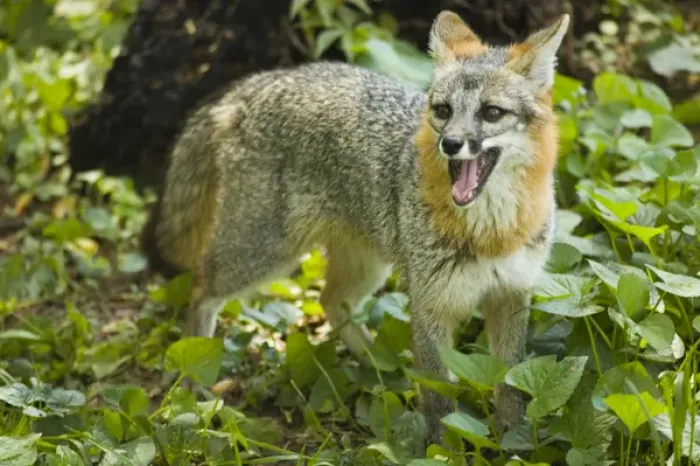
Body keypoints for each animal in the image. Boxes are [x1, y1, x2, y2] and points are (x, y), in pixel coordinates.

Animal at [142, 10, 569, 443]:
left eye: (492, 112)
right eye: (443, 110)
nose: (449, 144)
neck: (492, 232)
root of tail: (259, 82)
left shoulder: (511, 295)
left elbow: (512, 384)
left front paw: (517, 439)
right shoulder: (430, 303)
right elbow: (439, 398)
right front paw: (445, 449)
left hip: (365, 268)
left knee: (331, 301)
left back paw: (380, 364)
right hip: (262, 256)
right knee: (201, 290)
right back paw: (192, 377)